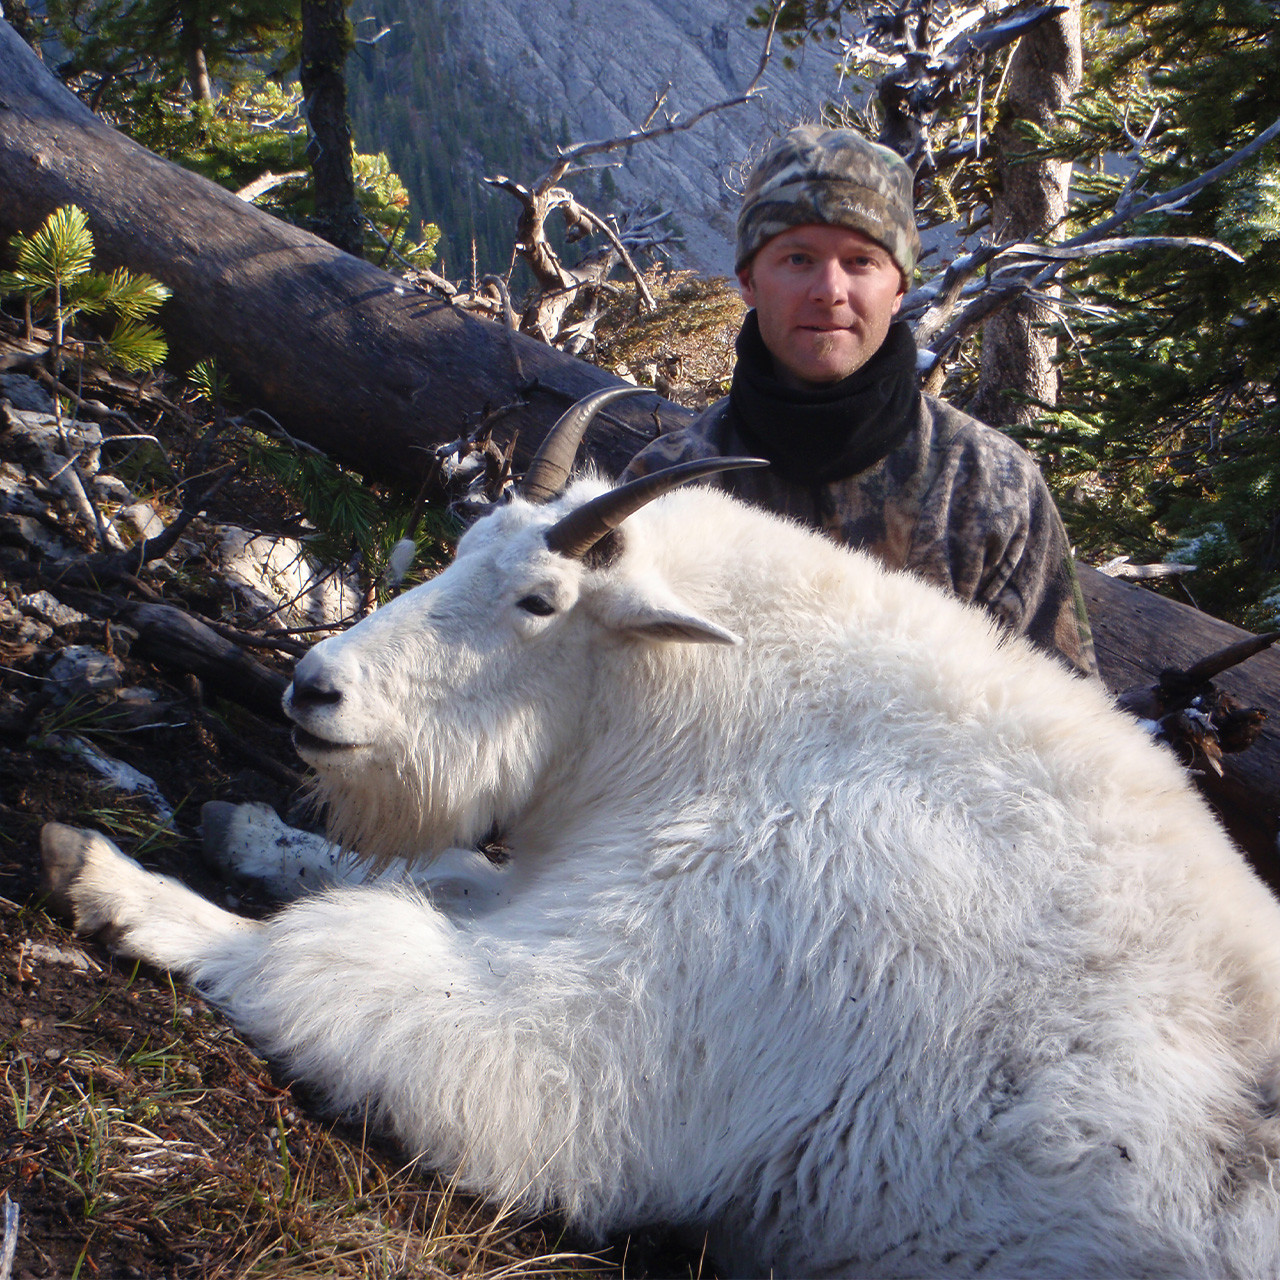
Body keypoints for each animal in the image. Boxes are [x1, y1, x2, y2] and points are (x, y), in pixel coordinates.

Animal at [40, 391, 1280, 1280]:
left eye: (540, 600)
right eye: (462, 544)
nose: (312, 689)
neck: (744, 721)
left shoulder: (600, 1043)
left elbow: (324, 952)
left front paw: (113, 877)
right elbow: (434, 869)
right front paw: (242, 822)